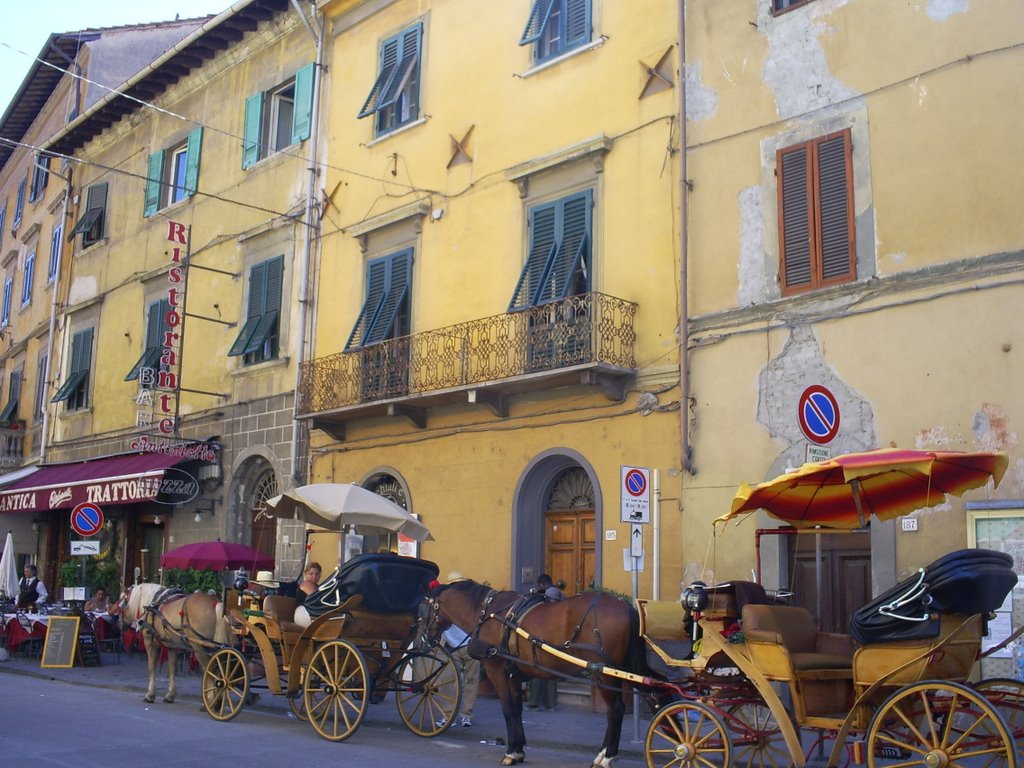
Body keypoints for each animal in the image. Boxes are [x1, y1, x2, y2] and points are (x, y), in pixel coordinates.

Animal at [428, 581, 643, 765]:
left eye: (428, 606)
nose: (427, 638)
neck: (487, 612)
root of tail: (624, 605)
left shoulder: (495, 669)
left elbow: (508, 709)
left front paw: (510, 752)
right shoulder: (512, 672)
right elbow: (516, 709)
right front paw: (518, 750)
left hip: (604, 672)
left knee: (615, 710)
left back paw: (607, 758)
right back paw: (602, 754)